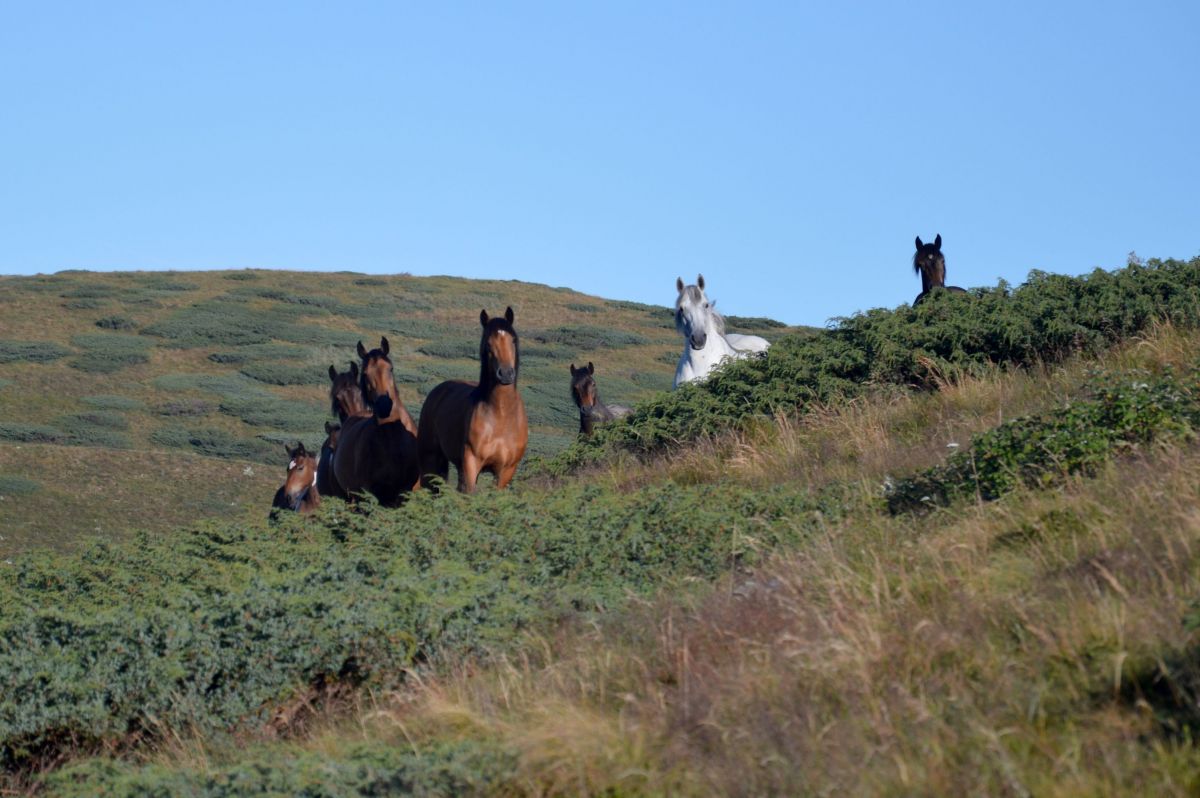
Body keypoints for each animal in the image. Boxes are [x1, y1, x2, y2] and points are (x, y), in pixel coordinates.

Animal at [420, 306, 528, 489]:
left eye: (513, 340)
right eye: (488, 344)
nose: (506, 373)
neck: (501, 415)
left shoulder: (506, 471)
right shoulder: (471, 463)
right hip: (431, 459)